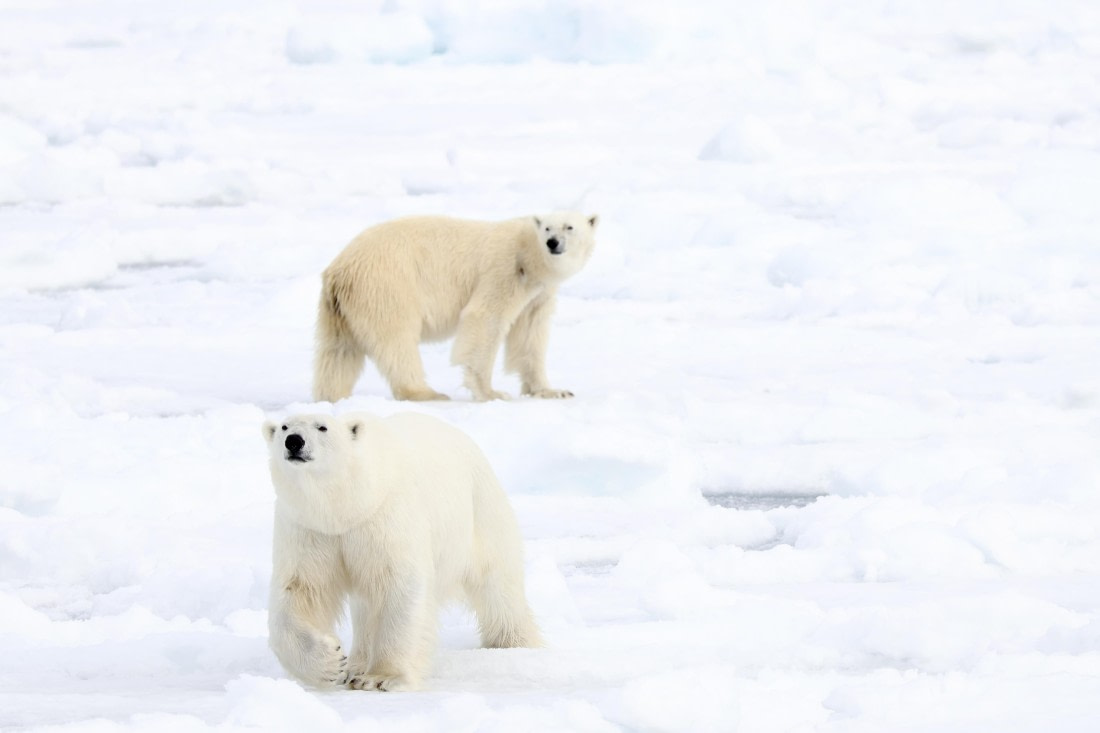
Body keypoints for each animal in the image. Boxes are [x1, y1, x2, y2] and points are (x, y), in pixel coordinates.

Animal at [262, 411, 542, 692]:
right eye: (284, 426)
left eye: (322, 427)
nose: (294, 441)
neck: (347, 506)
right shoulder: (309, 529)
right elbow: (299, 590)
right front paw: (331, 663)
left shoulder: (385, 517)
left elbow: (399, 585)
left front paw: (382, 677)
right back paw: (355, 667)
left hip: (479, 509)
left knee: (497, 582)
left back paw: (513, 642)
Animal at [313, 212, 598, 402]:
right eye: (548, 228)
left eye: (570, 227)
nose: (553, 243)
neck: (528, 256)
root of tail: (339, 269)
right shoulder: (504, 270)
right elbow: (485, 319)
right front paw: (491, 392)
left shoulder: (538, 294)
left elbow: (529, 335)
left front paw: (553, 390)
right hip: (386, 288)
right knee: (397, 342)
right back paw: (426, 392)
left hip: (340, 309)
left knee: (339, 353)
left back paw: (332, 395)